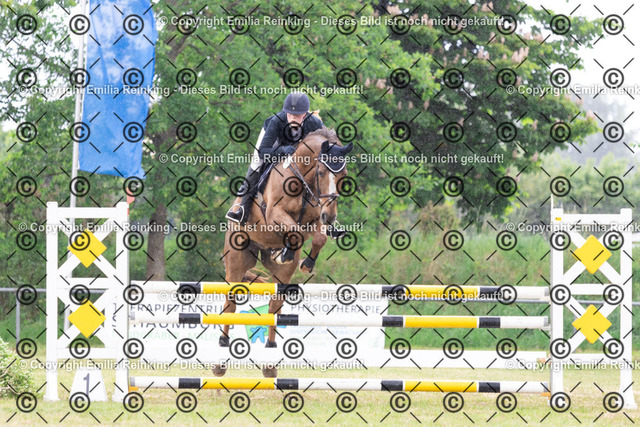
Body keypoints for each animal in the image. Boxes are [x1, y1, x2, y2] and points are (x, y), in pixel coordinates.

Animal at [215, 127, 353, 377]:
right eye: (320, 172)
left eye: (343, 175)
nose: (331, 217)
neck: (302, 180)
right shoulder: (274, 214)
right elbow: (294, 232)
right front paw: (291, 252)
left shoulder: (315, 218)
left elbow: (317, 237)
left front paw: (305, 263)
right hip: (236, 261)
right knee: (231, 303)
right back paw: (221, 354)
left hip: (280, 275)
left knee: (274, 305)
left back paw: (270, 359)